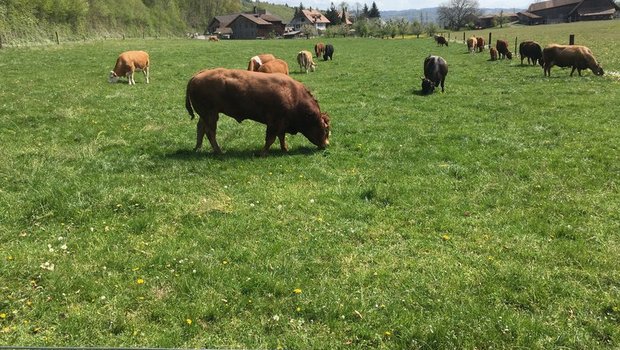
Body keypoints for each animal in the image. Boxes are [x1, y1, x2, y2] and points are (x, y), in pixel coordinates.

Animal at [184, 68, 330, 154]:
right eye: (325, 129)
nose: (326, 145)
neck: (293, 95)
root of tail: (196, 76)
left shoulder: (281, 124)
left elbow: (281, 137)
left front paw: (285, 149)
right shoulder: (274, 123)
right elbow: (270, 139)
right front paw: (262, 153)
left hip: (205, 115)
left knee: (201, 128)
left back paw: (198, 148)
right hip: (211, 115)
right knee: (210, 132)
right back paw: (219, 151)